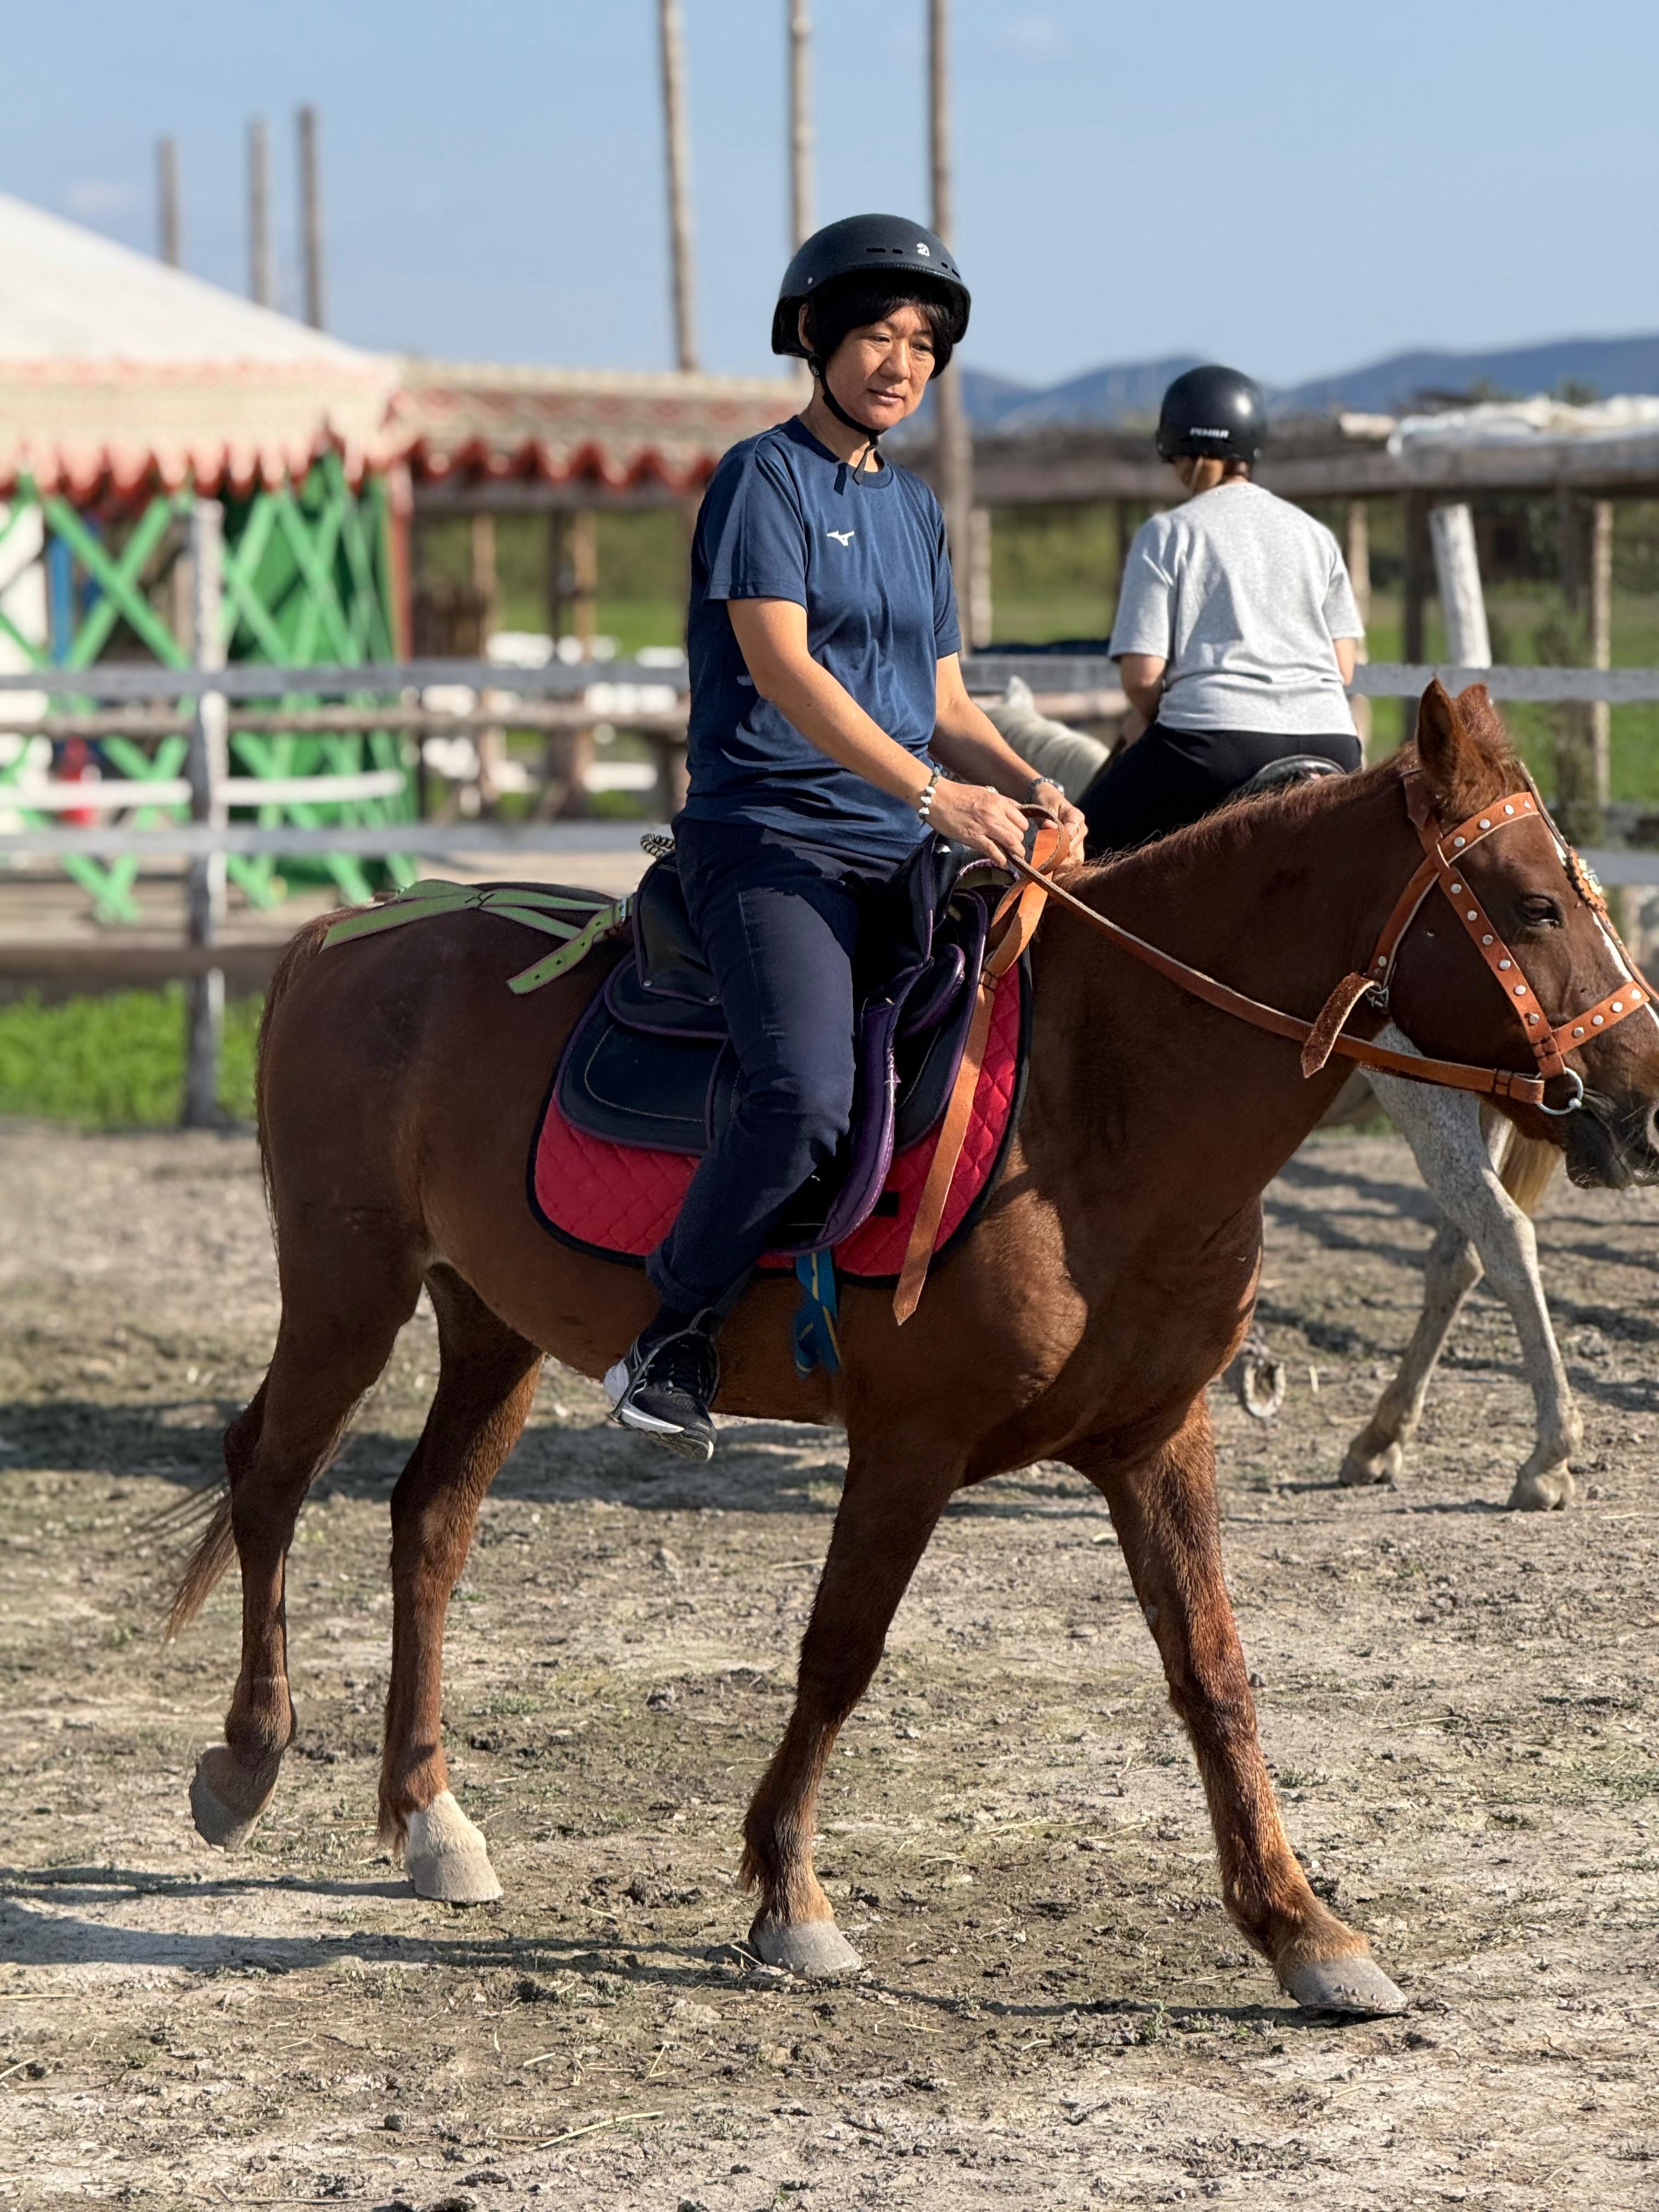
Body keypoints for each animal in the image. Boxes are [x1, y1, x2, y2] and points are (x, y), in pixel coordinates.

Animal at [166, 681, 1659, 2017]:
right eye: (1535, 905)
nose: (1641, 1099)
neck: (1099, 1099)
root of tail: (348, 931)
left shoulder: (1158, 1436)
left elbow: (1214, 1675)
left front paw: (1305, 1931)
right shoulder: (912, 1442)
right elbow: (843, 1651)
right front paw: (790, 1897)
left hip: (491, 1325)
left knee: (427, 1525)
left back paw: (431, 1820)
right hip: (350, 1290)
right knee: (271, 1476)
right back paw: (246, 1765)